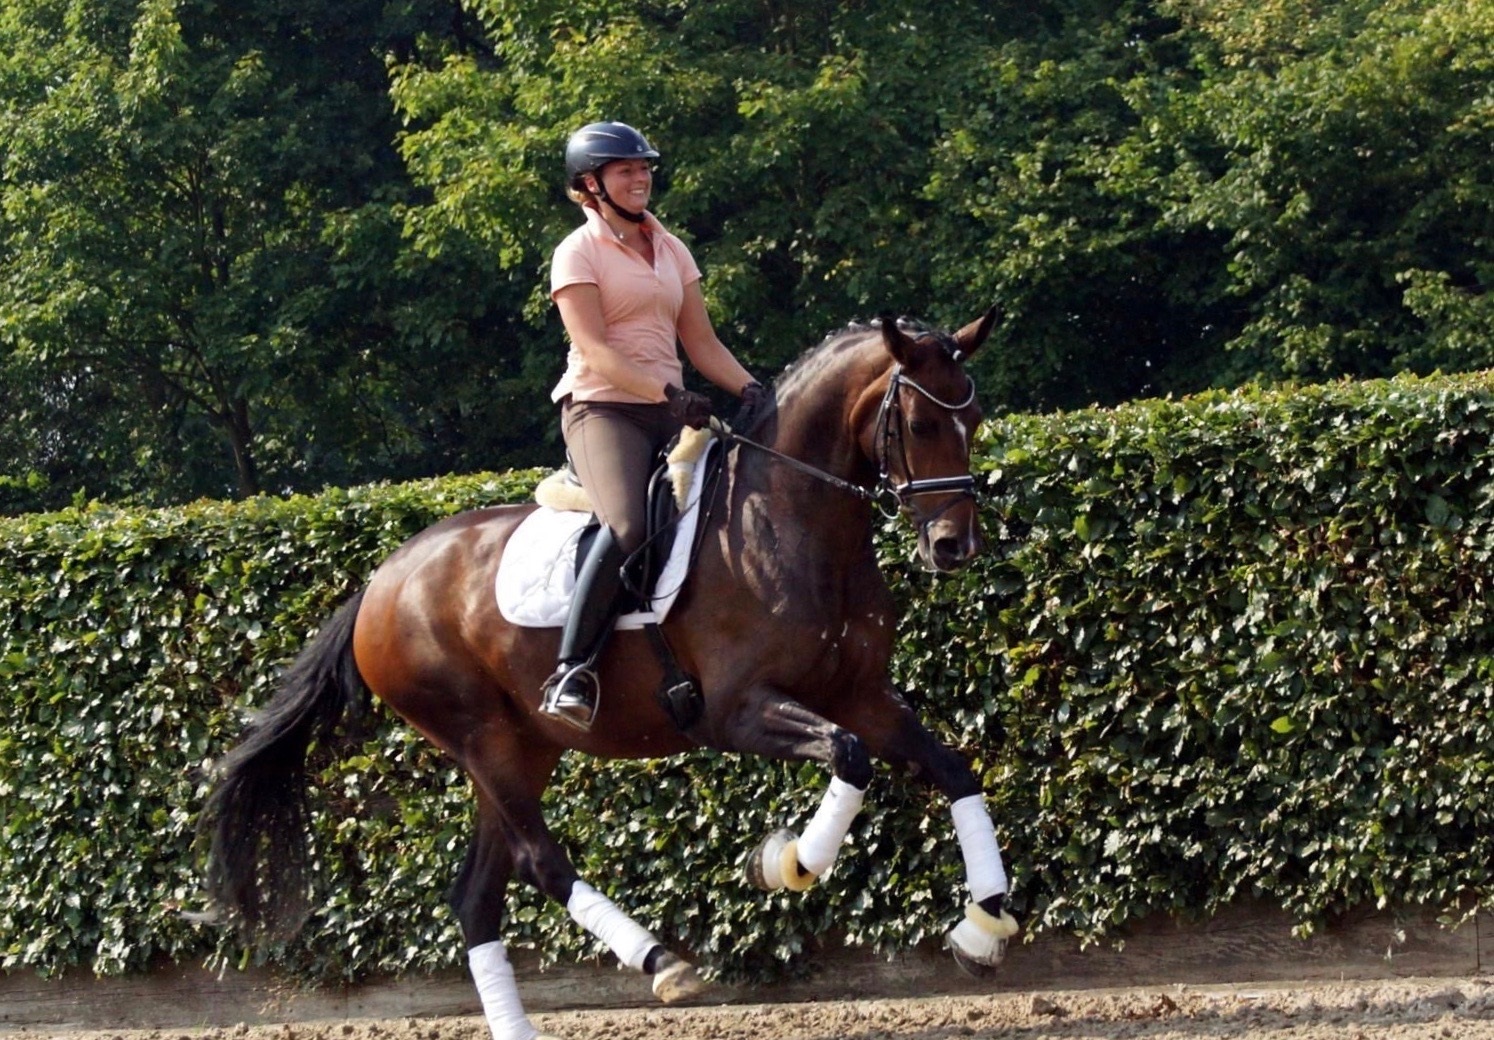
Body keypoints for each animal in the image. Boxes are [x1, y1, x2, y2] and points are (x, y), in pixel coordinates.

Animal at [202, 308, 1019, 1040]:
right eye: (919, 425)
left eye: (974, 418)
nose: (955, 546)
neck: (789, 519)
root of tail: (380, 580)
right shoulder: (737, 711)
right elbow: (849, 758)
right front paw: (787, 862)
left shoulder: (861, 696)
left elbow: (951, 767)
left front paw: (982, 926)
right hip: (479, 736)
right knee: (540, 862)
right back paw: (662, 961)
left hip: (523, 747)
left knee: (477, 897)